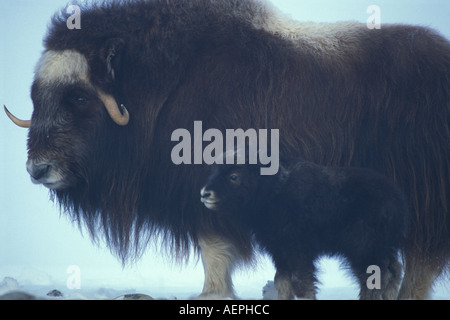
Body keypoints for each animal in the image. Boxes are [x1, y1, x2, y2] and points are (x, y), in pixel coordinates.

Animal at [200, 156, 408, 298]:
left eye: (234, 176)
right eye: (214, 171)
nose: (204, 193)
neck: (272, 192)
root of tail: (397, 201)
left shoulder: (297, 252)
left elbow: (302, 285)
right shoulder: (280, 253)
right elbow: (282, 282)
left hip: (363, 249)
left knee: (376, 278)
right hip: (382, 248)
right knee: (394, 271)